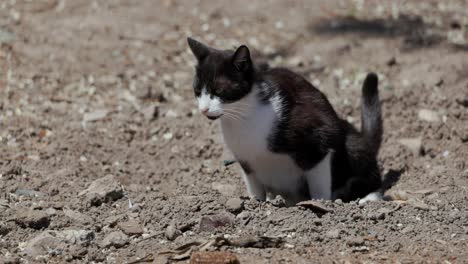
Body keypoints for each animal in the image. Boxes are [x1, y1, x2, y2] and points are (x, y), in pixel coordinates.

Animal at [187, 37, 384, 204]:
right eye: (197, 91)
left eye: (219, 91)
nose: (203, 109)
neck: (242, 118)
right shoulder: (245, 160)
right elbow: (254, 188)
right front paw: (255, 203)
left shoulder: (319, 141)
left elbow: (319, 186)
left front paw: (321, 203)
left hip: (351, 143)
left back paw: (368, 198)